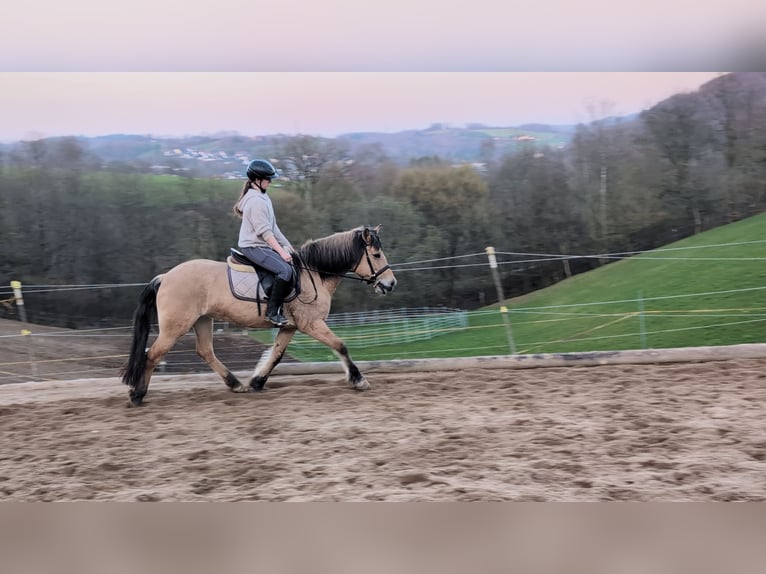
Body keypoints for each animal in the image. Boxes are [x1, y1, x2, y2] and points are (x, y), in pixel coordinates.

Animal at [121, 225, 397, 406]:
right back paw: (137, 395)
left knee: (205, 351)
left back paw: (236, 384)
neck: (313, 275)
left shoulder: (289, 327)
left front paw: (257, 381)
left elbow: (276, 355)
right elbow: (340, 345)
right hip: (175, 327)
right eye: (376, 255)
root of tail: (165, 277)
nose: (390, 283)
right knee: (151, 355)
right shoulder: (311, 324)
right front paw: (358, 379)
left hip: (202, 320)